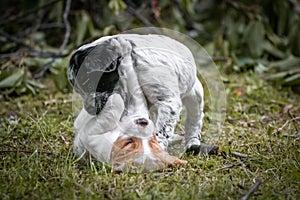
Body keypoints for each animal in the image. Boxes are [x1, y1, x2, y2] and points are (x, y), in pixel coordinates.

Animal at [68, 33, 204, 171]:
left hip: (194, 92)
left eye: (90, 83)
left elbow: (161, 131)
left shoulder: (168, 101)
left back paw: (193, 142)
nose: (90, 109)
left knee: (195, 116)